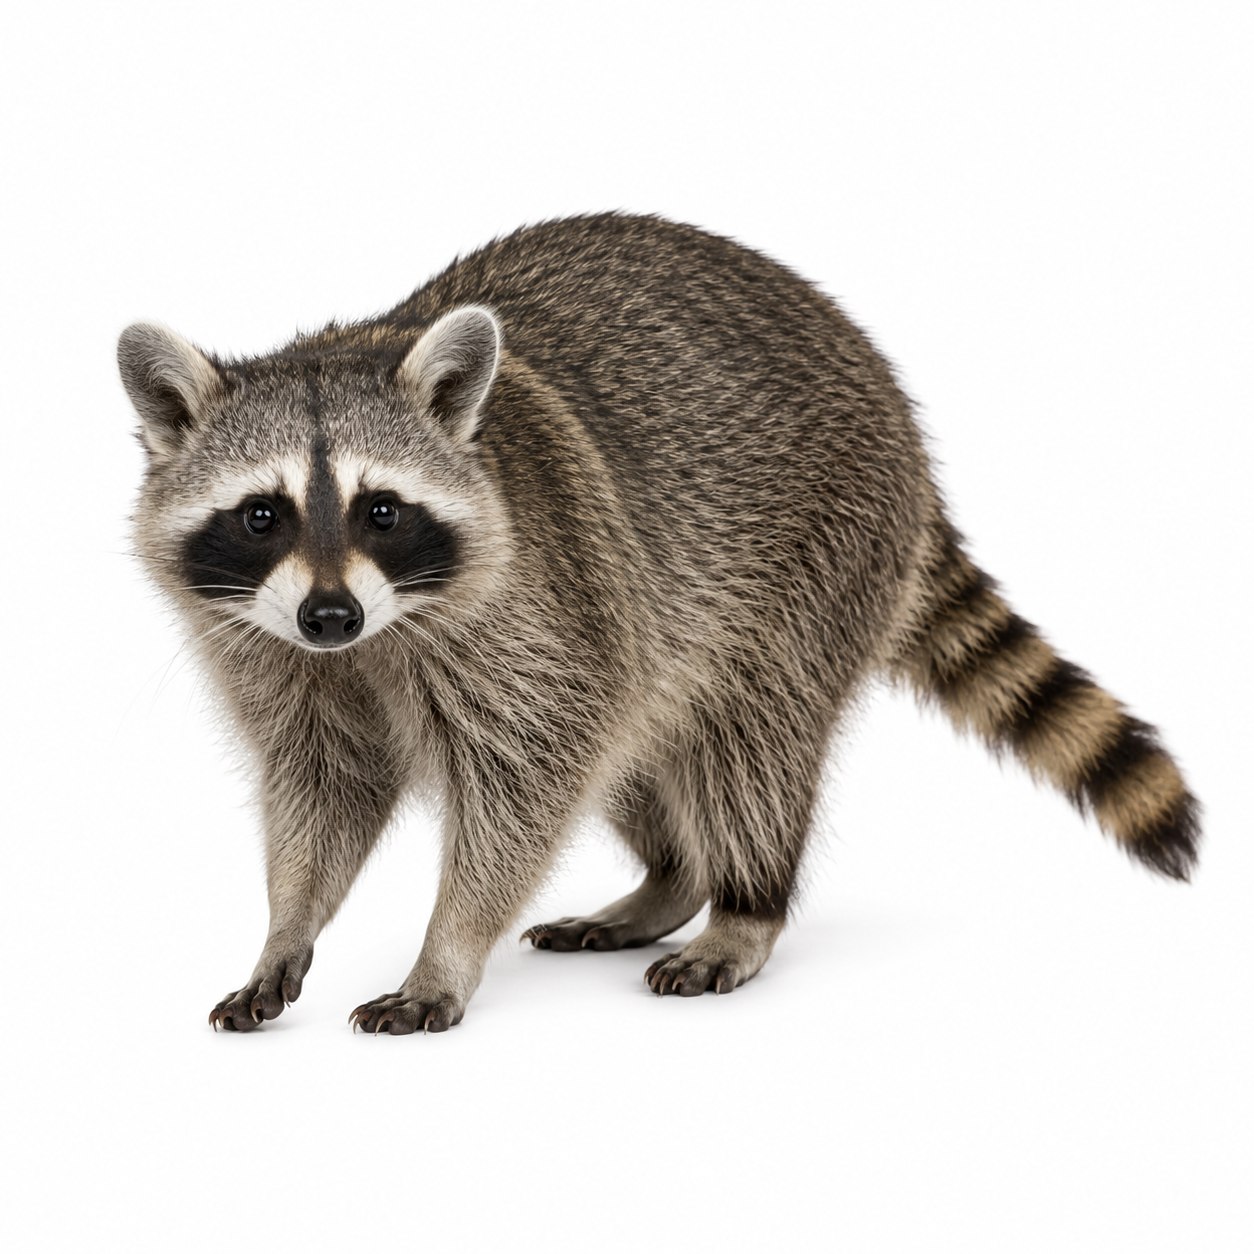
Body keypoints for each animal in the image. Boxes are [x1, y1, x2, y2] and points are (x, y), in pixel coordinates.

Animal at [119, 213, 1199, 1035]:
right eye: (262, 516)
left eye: (381, 510)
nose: (330, 614)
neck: (379, 634)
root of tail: (897, 416)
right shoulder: (273, 648)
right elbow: (323, 786)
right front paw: (286, 924)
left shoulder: (537, 605)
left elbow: (527, 783)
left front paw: (446, 949)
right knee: (644, 735)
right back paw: (672, 880)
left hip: (816, 555)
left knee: (748, 743)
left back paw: (744, 904)